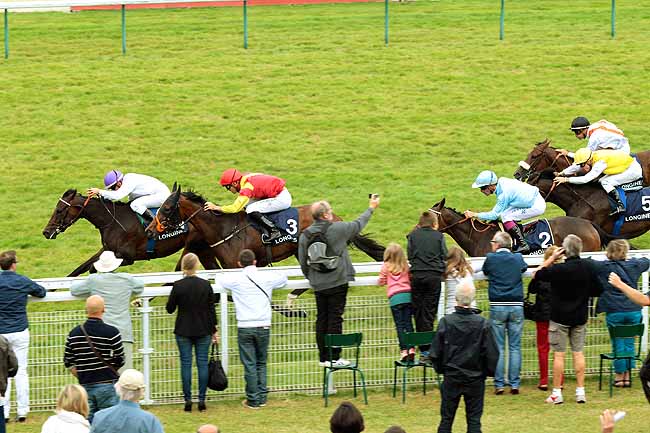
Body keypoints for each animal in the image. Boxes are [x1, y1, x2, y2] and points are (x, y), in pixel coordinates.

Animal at [42, 189, 218, 276]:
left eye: (59, 210)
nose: (46, 232)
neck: (112, 220)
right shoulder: (106, 250)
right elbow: (81, 268)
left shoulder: (127, 257)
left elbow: (93, 268)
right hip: (204, 249)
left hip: (196, 246)